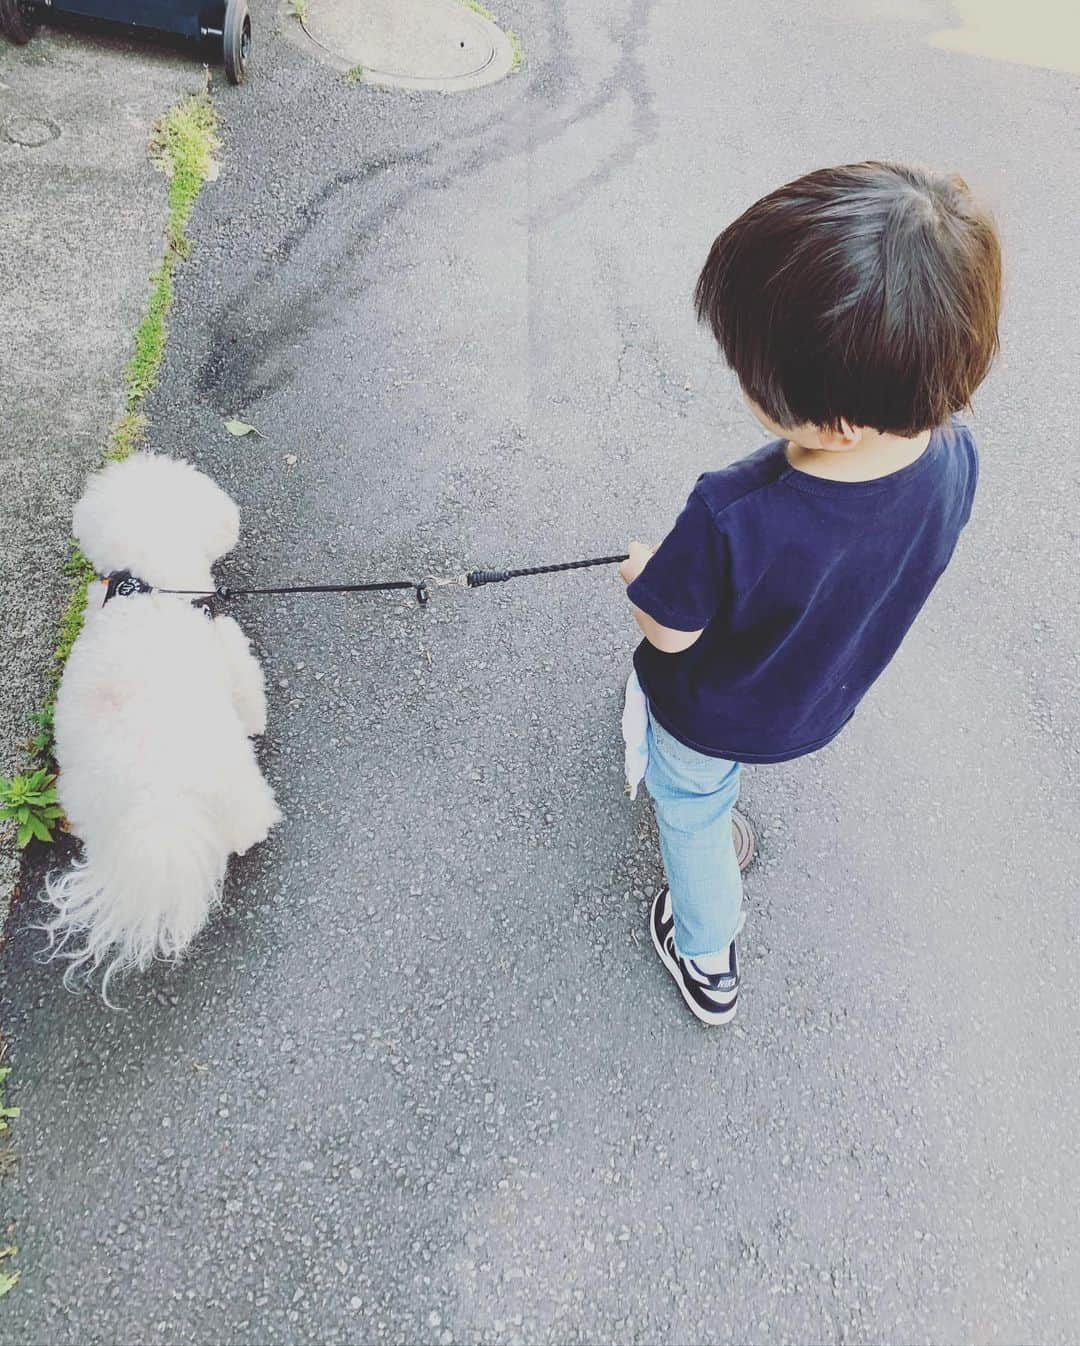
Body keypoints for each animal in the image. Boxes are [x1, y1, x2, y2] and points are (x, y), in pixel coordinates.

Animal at [41, 457, 280, 996]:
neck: (149, 581)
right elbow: (248, 689)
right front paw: (258, 718)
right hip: (230, 774)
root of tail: (155, 803)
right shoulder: (226, 646)